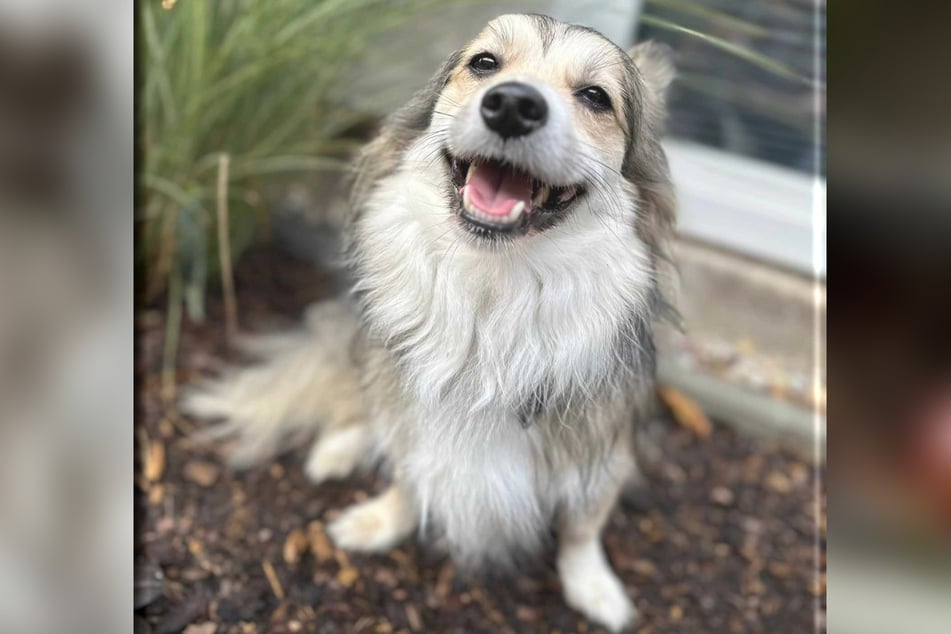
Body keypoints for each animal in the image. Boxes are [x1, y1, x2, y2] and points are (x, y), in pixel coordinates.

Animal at [186, 13, 676, 628]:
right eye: (484, 64)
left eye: (595, 97)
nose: (512, 105)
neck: (491, 290)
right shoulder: (409, 413)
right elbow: (408, 473)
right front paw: (378, 520)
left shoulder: (602, 442)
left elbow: (583, 527)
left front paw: (594, 587)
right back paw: (337, 450)